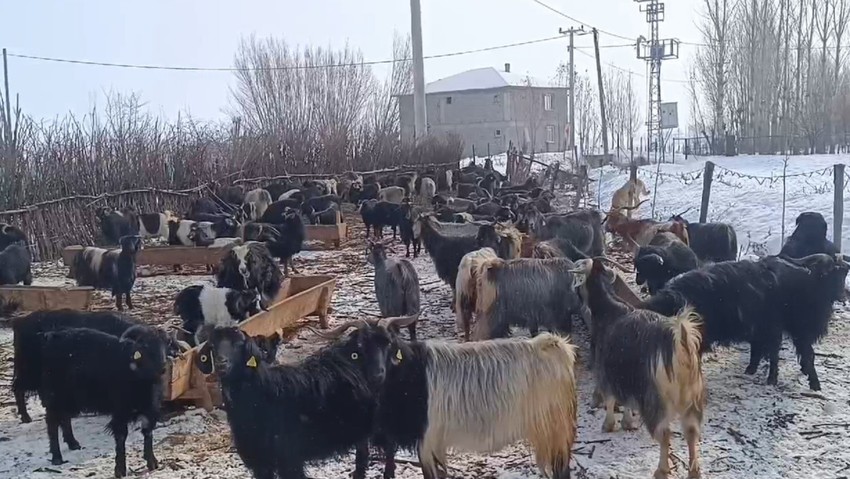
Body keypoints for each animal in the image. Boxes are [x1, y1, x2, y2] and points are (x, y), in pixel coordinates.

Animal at [38, 324, 166, 478]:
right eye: (144, 348)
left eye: (163, 346)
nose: (162, 368)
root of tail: (53, 336)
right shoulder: (120, 410)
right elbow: (121, 436)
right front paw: (120, 470)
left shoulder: (150, 409)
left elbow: (148, 432)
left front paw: (152, 462)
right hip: (55, 396)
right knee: (52, 423)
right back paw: (57, 457)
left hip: (70, 398)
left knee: (64, 418)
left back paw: (73, 444)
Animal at [195, 324, 394, 479]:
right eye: (212, 346)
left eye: (238, 344)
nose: (221, 363)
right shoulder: (260, 462)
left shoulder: (289, 458)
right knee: (363, 453)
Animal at [576, 258, 704, 479]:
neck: (609, 309)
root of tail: (681, 344)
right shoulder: (628, 377)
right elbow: (628, 401)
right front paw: (627, 423)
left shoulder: (608, 371)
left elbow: (611, 398)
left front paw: (608, 425)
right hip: (692, 396)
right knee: (691, 431)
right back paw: (694, 471)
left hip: (656, 398)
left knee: (664, 432)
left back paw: (661, 470)